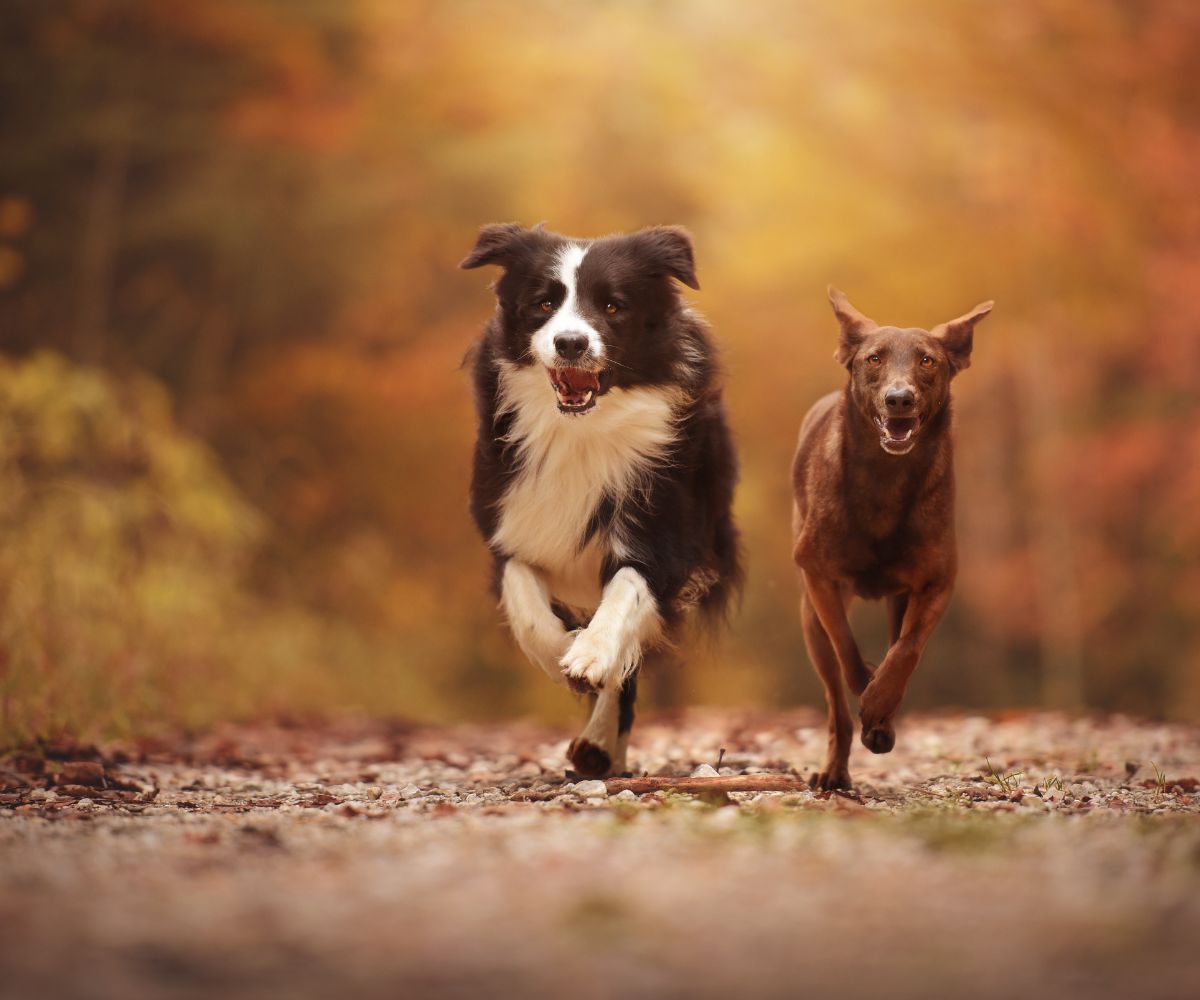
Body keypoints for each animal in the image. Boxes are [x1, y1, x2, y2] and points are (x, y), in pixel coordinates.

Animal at [792, 283, 988, 787]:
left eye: (928, 361)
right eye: (874, 358)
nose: (899, 399)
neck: (886, 475)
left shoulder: (937, 580)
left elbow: (907, 649)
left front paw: (880, 705)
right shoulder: (819, 576)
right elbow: (845, 646)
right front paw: (866, 688)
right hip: (809, 619)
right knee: (835, 704)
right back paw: (834, 771)